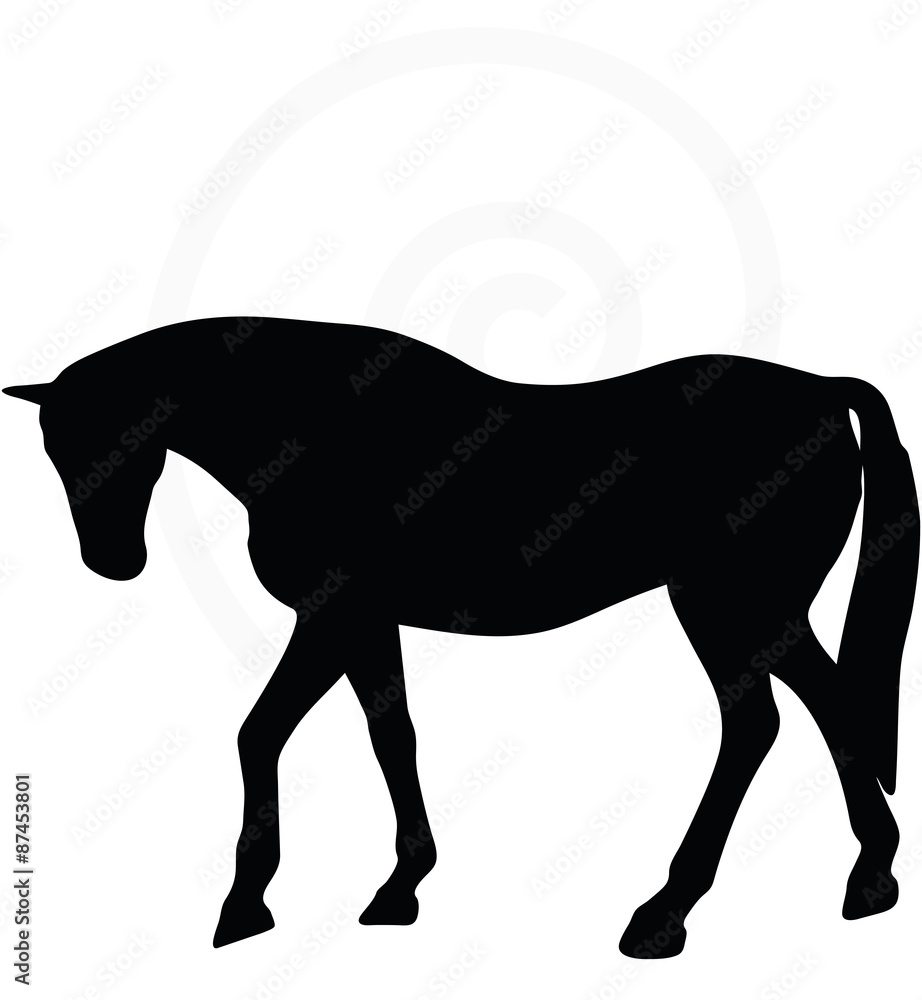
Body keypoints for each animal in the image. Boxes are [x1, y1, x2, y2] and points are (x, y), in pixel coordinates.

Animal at [5, 318, 917, 956]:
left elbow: (262, 732)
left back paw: (693, 909)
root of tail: (825, 389)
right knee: (786, 716)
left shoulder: (332, 614)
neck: (315, 426)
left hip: (741, 603)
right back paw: (824, 885)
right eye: (51, 449)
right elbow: (389, 734)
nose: (111, 562)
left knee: (787, 717)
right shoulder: (361, 622)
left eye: (119, 435)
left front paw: (245, 903)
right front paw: (398, 886)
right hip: (736, 607)